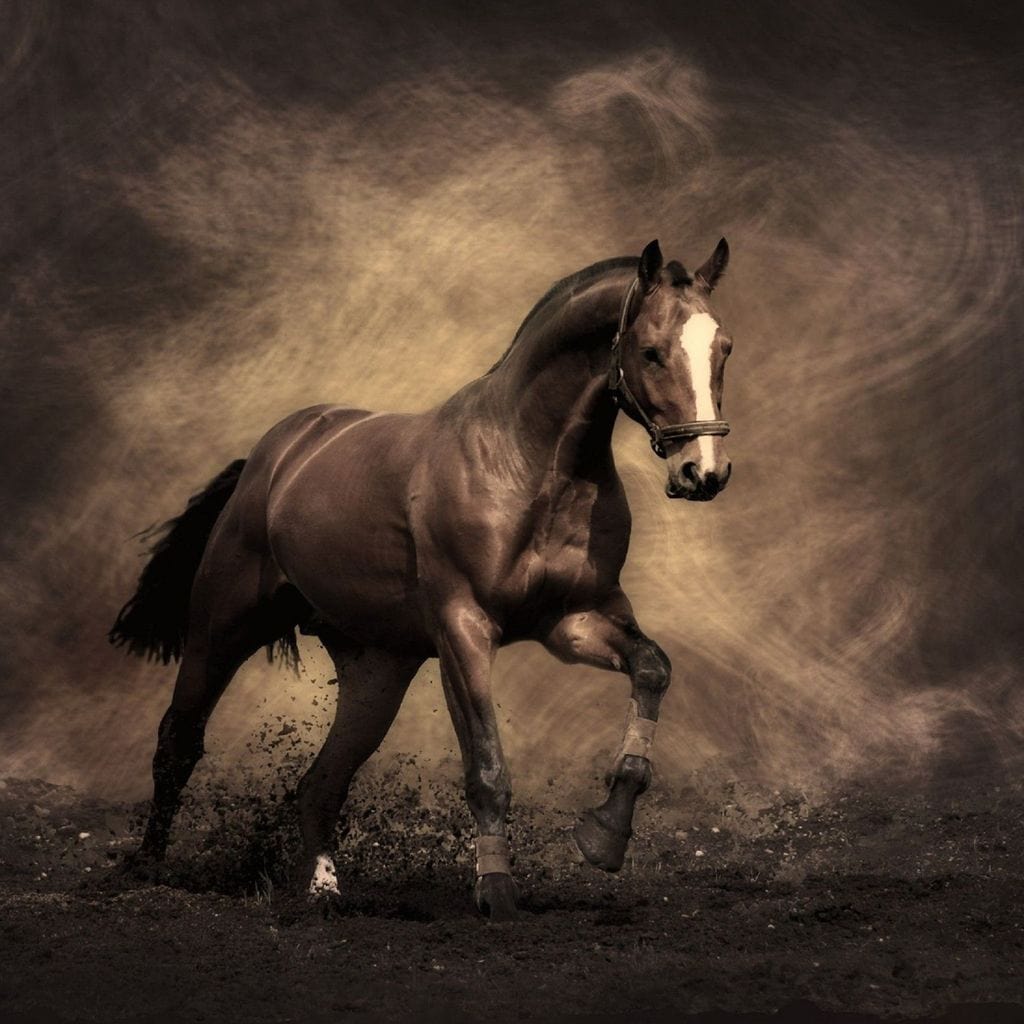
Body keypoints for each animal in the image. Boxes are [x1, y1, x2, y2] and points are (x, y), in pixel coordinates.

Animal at [110, 237, 733, 920]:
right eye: (650, 351)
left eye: (723, 348)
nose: (705, 472)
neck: (529, 465)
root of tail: (273, 459)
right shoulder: (463, 630)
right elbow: (486, 767)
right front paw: (497, 894)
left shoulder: (574, 621)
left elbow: (652, 669)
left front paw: (604, 837)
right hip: (222, 629)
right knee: (179, 742)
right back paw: (148, 869)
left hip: (377, 671)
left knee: (321, 783)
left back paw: (323, 891)